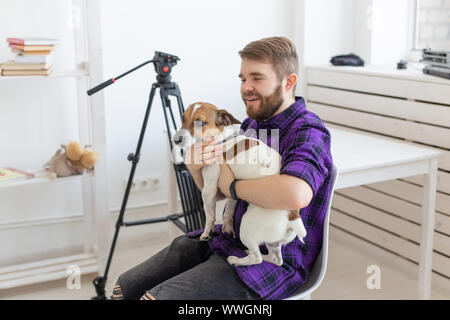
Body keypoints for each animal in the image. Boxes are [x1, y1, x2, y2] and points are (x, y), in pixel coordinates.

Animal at [171, 102, 306, 268]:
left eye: (200, 122)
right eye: (183, 118)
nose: (176, 139)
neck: (222, 139)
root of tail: (293, 216)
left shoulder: (209, 190)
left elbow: (209, 216)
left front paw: (206, 233)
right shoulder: (231, 192)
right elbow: (228, 212)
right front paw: (227, 228)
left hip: (247, 226)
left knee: (257, 258)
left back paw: (236, 260)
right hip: (274, 242)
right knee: (276, 259)